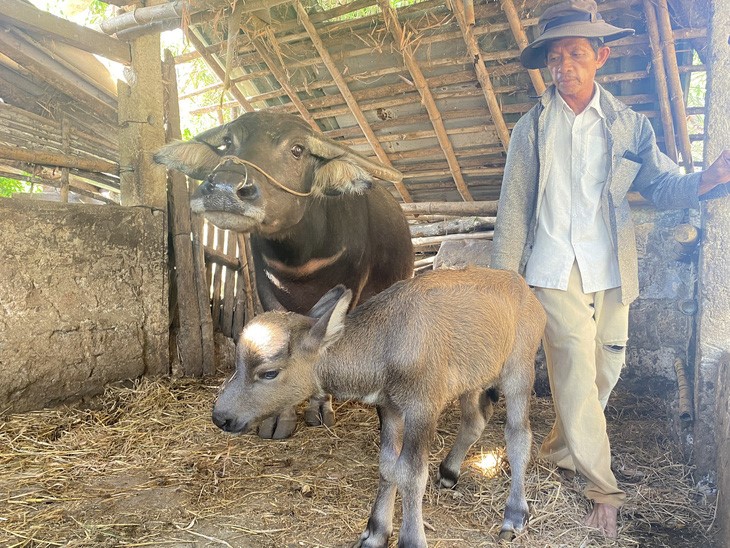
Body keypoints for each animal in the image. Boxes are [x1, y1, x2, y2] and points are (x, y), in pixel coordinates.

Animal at [154, 113, 412, 438]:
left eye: (297, 149)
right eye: (228, 141)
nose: (225, 188)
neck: (301, 258)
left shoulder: (352, 287)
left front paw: (320, 406)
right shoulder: (267, 286)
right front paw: (279, 417)